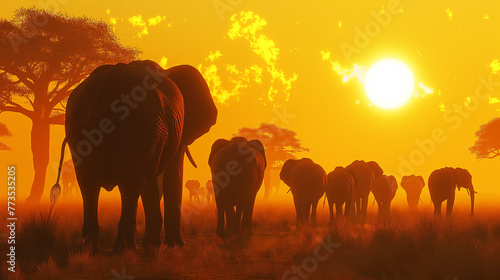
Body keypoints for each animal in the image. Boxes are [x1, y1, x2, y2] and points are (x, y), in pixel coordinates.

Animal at [54, 59, 217, 252]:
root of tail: (105, 92)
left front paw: (156, 245)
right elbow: (171, 176)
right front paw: (175, 245)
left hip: (79, 123)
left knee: (88, 185)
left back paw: (90, 249)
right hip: (140, 127)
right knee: (131, 184)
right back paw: (126, 249)